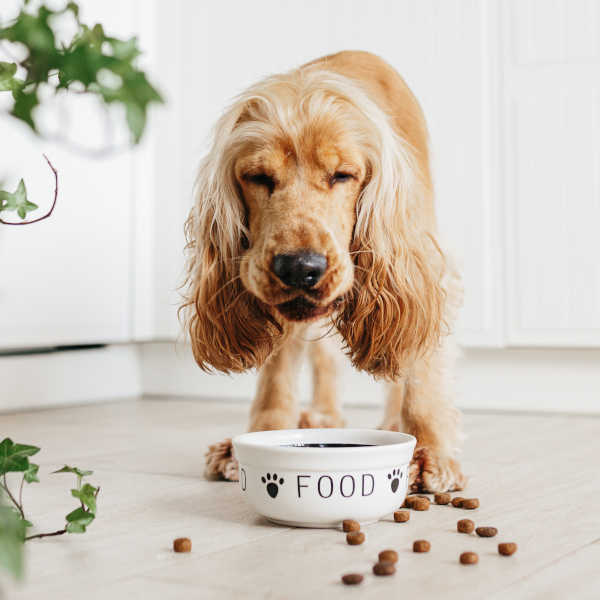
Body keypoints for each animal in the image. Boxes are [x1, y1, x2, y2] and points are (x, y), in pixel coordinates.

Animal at [180, 50, 466, 492]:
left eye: (342, 175)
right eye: (258, 177)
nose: (299, 268)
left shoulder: (424, 267)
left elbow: (421, 367)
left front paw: (431, 452)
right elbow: (277, 372)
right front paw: (261, 436)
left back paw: (391, 422)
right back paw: (323, 416)